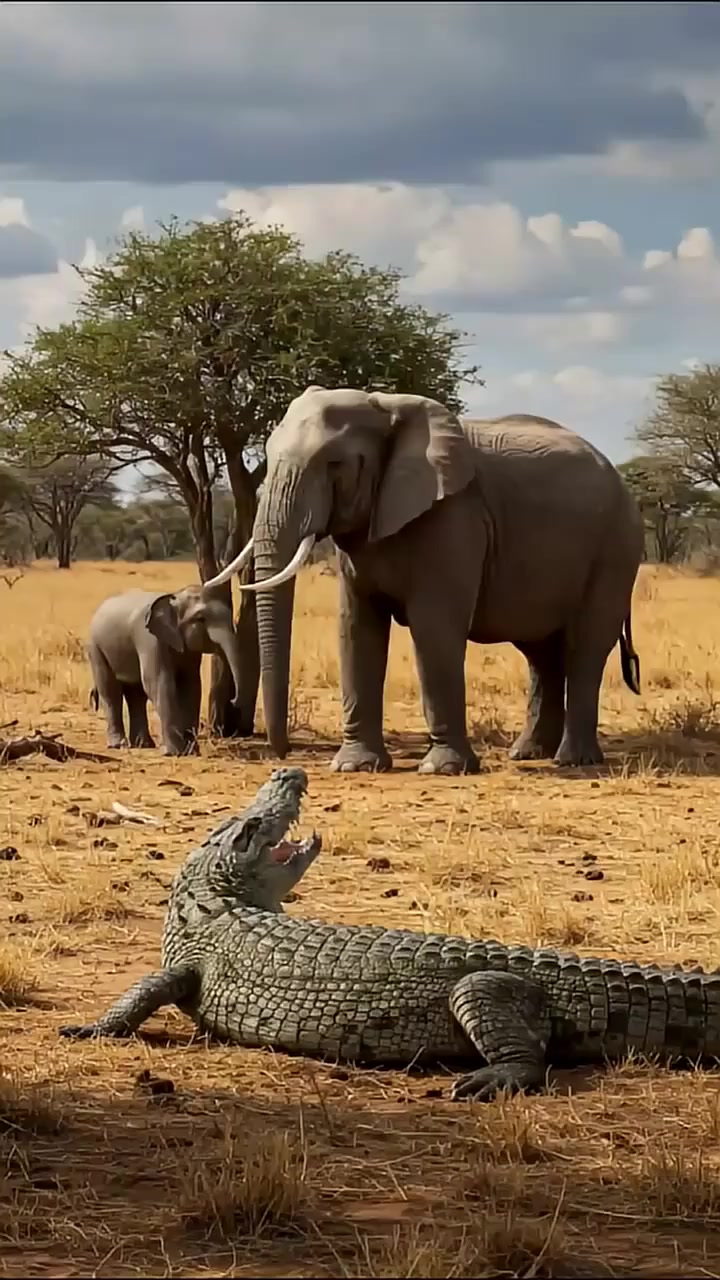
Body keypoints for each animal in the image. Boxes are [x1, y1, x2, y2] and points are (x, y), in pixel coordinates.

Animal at [87, 585, 245, 756]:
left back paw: (143, 745)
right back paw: (119, 745)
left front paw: (191, 752)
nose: (233, 700)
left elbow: (191, 686)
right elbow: (159, 682)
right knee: (111, 691)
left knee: (136, 694)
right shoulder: (150, 639)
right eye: (200, 619)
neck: (174, 598)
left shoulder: (189, 650)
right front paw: (173, 753)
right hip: (96, 648)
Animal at [205, 386, 644, 776]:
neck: (384, 405)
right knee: (541, 653)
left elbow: (434, 629)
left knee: (584, 647)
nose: (282, 755)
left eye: (335, 465)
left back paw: (573, 761)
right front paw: (355, 766)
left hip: (616, 547)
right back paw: (529, 754)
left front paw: (443, 769)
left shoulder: (454, 518)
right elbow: (356, 628)